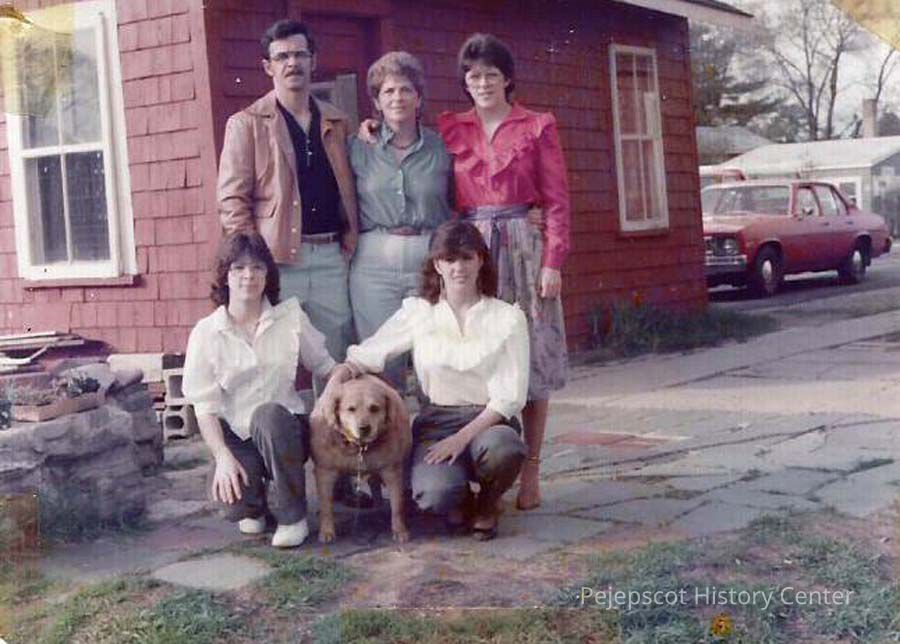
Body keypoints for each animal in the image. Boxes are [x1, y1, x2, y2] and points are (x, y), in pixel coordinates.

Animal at [310, 375, 412, 543]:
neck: (359, 447)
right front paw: (326, 531)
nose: (364, 428)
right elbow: (326, 506)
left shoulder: (392, 471)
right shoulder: (325, 472)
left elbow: (397, 505)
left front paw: (400, 530)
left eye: (375, 408)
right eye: (351, 409)